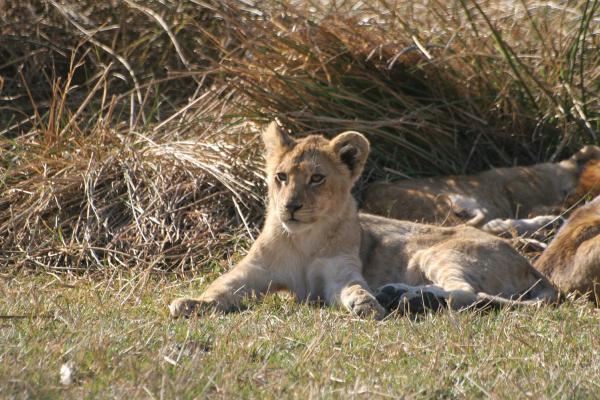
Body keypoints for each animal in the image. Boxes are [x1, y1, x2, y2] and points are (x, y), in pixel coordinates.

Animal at [166, 122, 556, 318]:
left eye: (317, 179)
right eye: (281, 177)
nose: (290, 206)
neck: (303, 238)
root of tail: (533, 268)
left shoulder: (338, 275)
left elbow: (353, 288)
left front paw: (367, 303)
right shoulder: (254, 271)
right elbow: (222, 286)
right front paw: (191, 304)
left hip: (438, 252)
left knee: (466, 292)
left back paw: (406, 298)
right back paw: (401, 296)